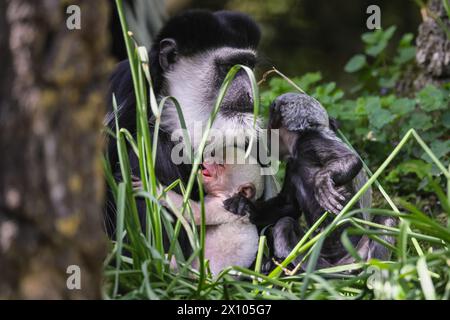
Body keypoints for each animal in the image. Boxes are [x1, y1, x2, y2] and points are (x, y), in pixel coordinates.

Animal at [163, 148, 264, 276]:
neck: (225, 194)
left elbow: (196, 214)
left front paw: (160, 191)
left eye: (220, 165)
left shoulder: (222, 205)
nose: (205, 159)